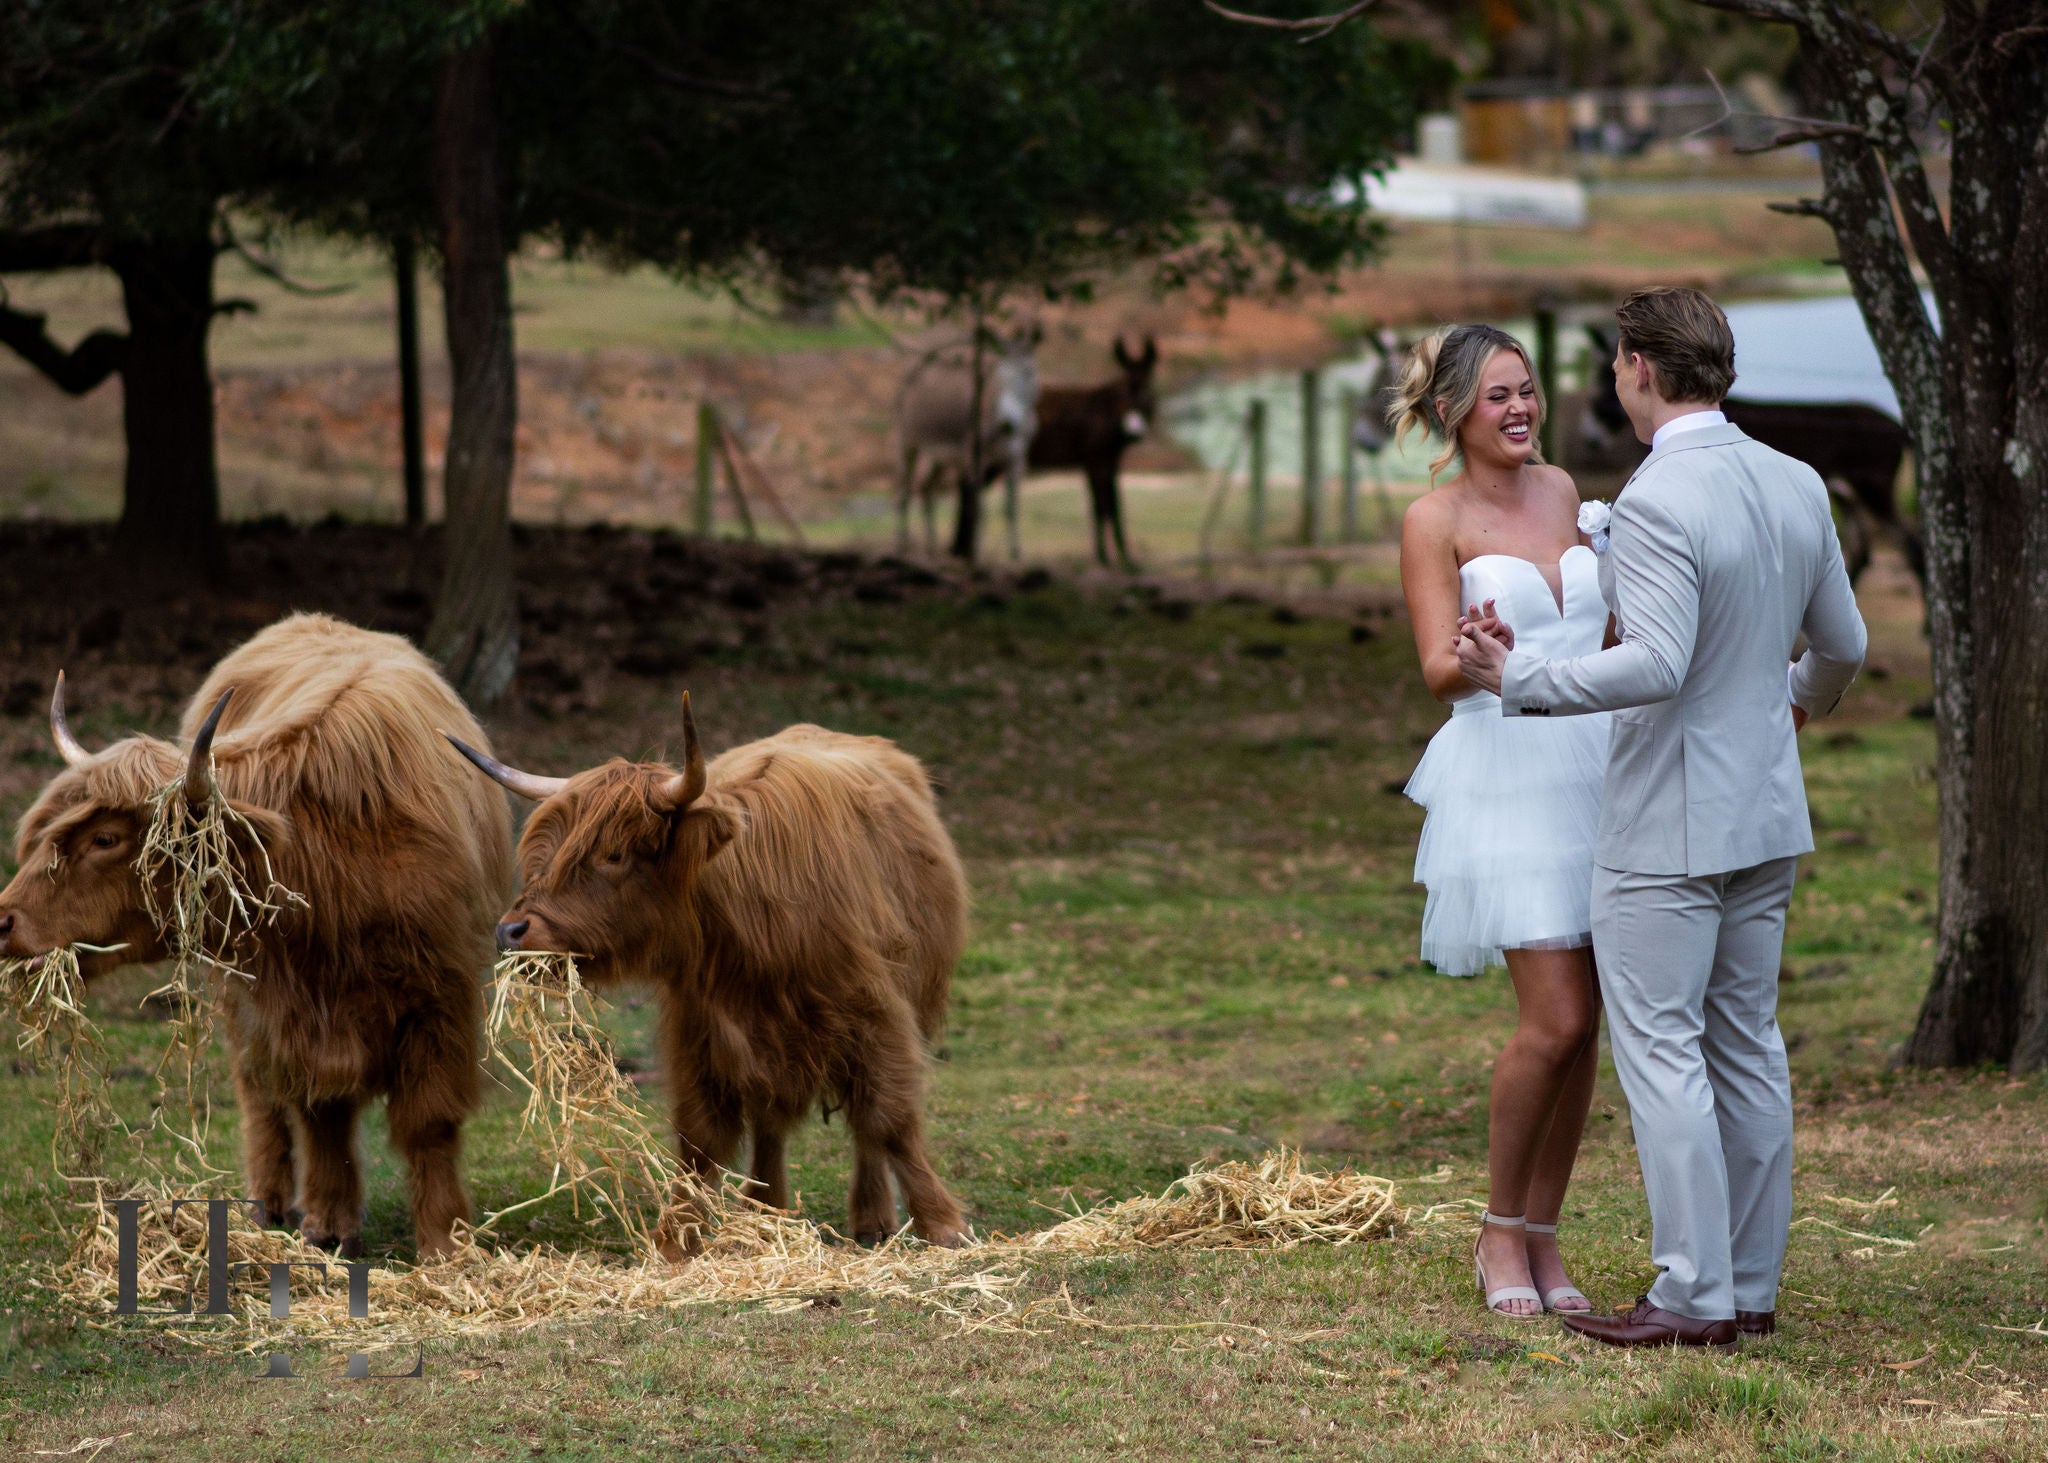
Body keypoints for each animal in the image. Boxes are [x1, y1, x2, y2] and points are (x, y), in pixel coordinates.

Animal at [0, 614, 512, 1258]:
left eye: (105, 839)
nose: (4, 919)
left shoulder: (442, 999)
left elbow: (428, 1123)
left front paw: (446, 1242)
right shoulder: (289, 1009)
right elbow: (319, 1108)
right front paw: (328, 1225)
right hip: (236, 994)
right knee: (259, 1094)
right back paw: (266, 1204)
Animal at [445, 695, 970, 1254]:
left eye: (613, 854)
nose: (511, 930)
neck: (754, 922)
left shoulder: (875, 1015)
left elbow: (888, 1119)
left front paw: (942, 1224)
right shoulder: (700, 1030)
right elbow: (700, 1136)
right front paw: (676, 1236)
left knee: (860, 1127)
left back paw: (871, 1218)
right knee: (770, 1123)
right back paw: (764, 1209)